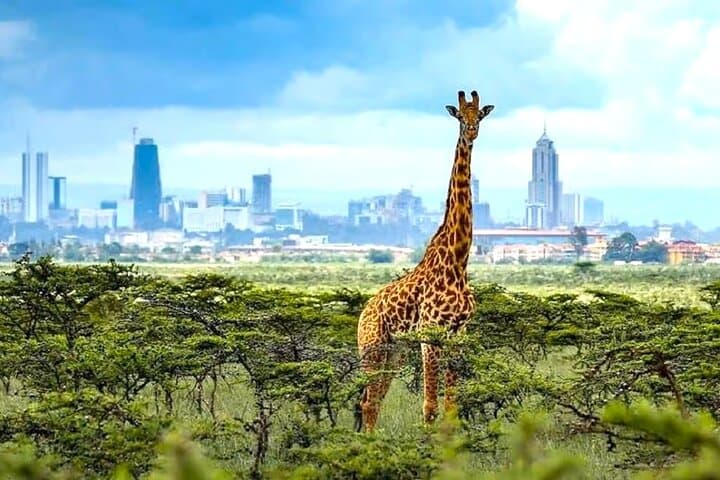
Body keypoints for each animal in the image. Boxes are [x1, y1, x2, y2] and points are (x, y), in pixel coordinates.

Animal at [356, 90, 494, 432]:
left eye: (479, 115)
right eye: (460, 116)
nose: (472, 132)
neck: (458, 260)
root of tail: (363, 313)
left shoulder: (458, 335)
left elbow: (450, 407)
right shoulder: (430, 334)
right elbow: (429, 407)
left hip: (395, 350)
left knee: (375, 400)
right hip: (372, 347)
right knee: (367, 401)